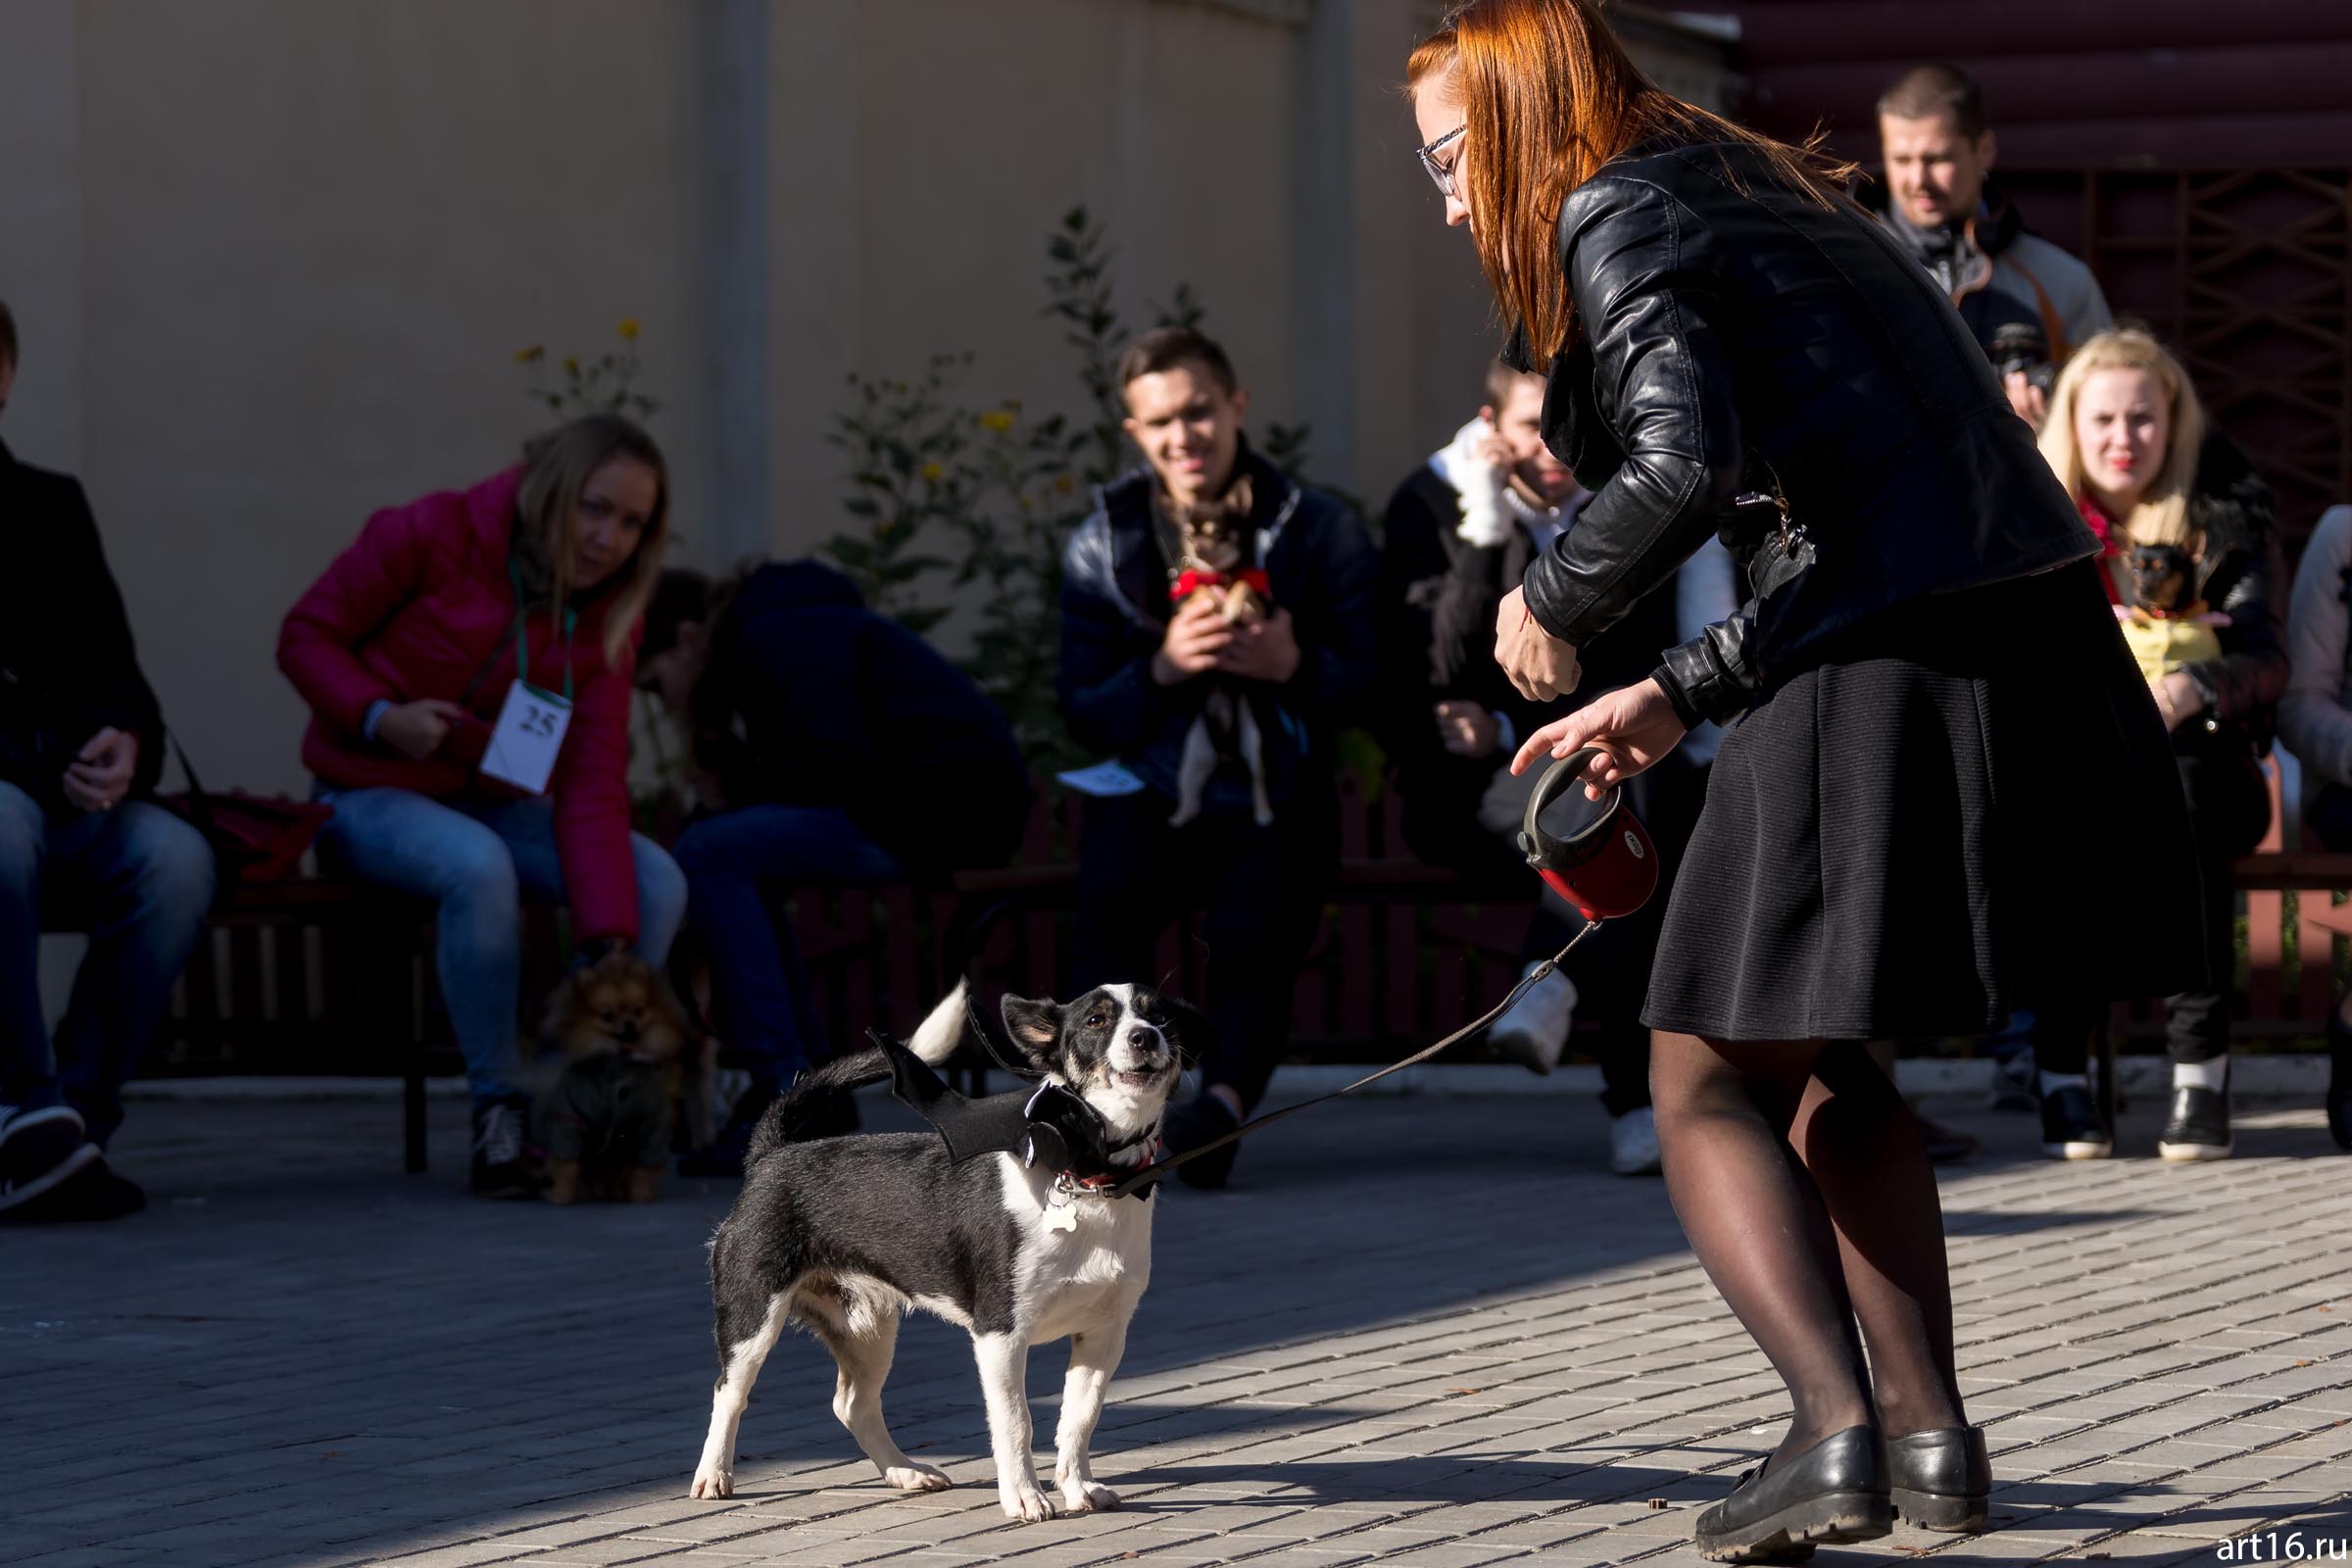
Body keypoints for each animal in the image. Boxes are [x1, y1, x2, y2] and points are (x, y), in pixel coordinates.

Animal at [538, 958, 696, 1203]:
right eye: (608, 1015)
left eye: (638, 1011)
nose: (629, 1023)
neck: (622, 1063)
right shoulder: (568, 1121)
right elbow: (566, 1164)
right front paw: (560, 1195)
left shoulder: (651, 1127)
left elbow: (643, 1169)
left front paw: (641, 1195)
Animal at [686, 982, 1195, 1523]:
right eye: (1097, 1021)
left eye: (1161, 1018)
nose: (1145, 1037)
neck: (1086, 1174)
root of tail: (771, 1155)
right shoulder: (1000, 1336)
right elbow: (1016, 1421)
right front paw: (1024, 1497)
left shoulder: (1103, 1336)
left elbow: (1080, 1418)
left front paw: (1078, 1488)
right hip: (753, 1319)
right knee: (729, 1393)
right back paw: (713, 1474)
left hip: (867, 1329)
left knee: (853, 1405)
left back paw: (904, 1471)